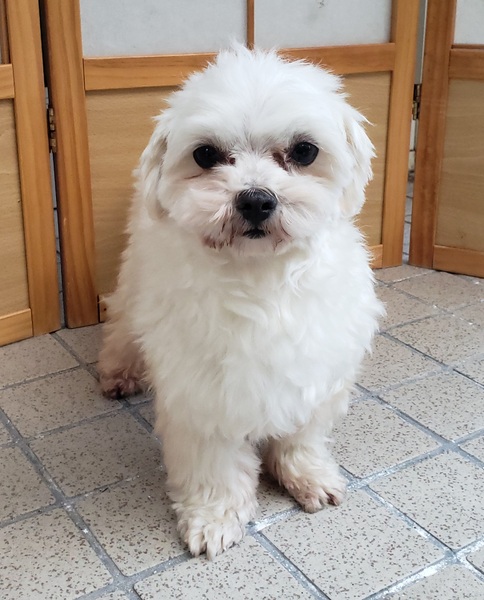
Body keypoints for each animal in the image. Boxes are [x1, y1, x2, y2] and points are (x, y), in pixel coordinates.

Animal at [98, 46, 383, 560]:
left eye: (304, 151)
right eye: (205, 154)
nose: (255, 200)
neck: (261, 277)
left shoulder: (317, 367)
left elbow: (302, 436)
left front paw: (304, 474)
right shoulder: (204, 391)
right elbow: (214, 466)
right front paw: (214, 517)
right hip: (134, 282)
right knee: (121, 324)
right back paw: (118, 371)